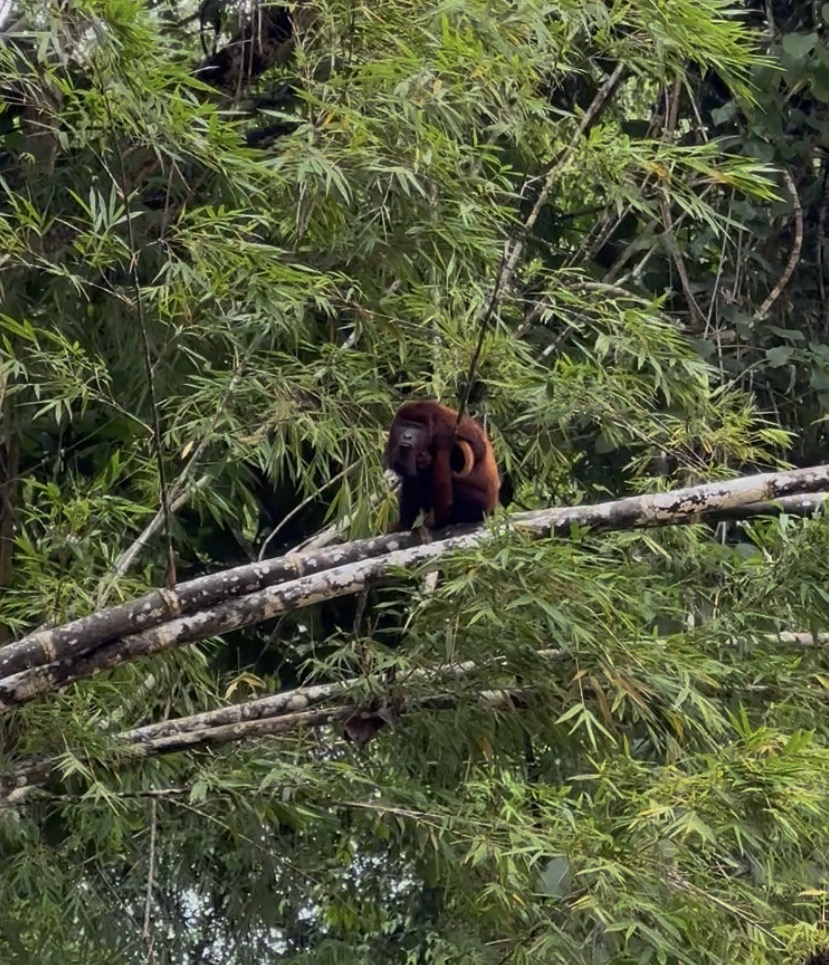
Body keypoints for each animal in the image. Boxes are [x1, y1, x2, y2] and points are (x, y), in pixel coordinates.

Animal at [384, 400, 500, 531]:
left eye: (417, 428)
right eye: (405, 425)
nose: (407, 436)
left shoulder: (449, 424)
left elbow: (479, 448)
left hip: (482, 506)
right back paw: (404, 525)